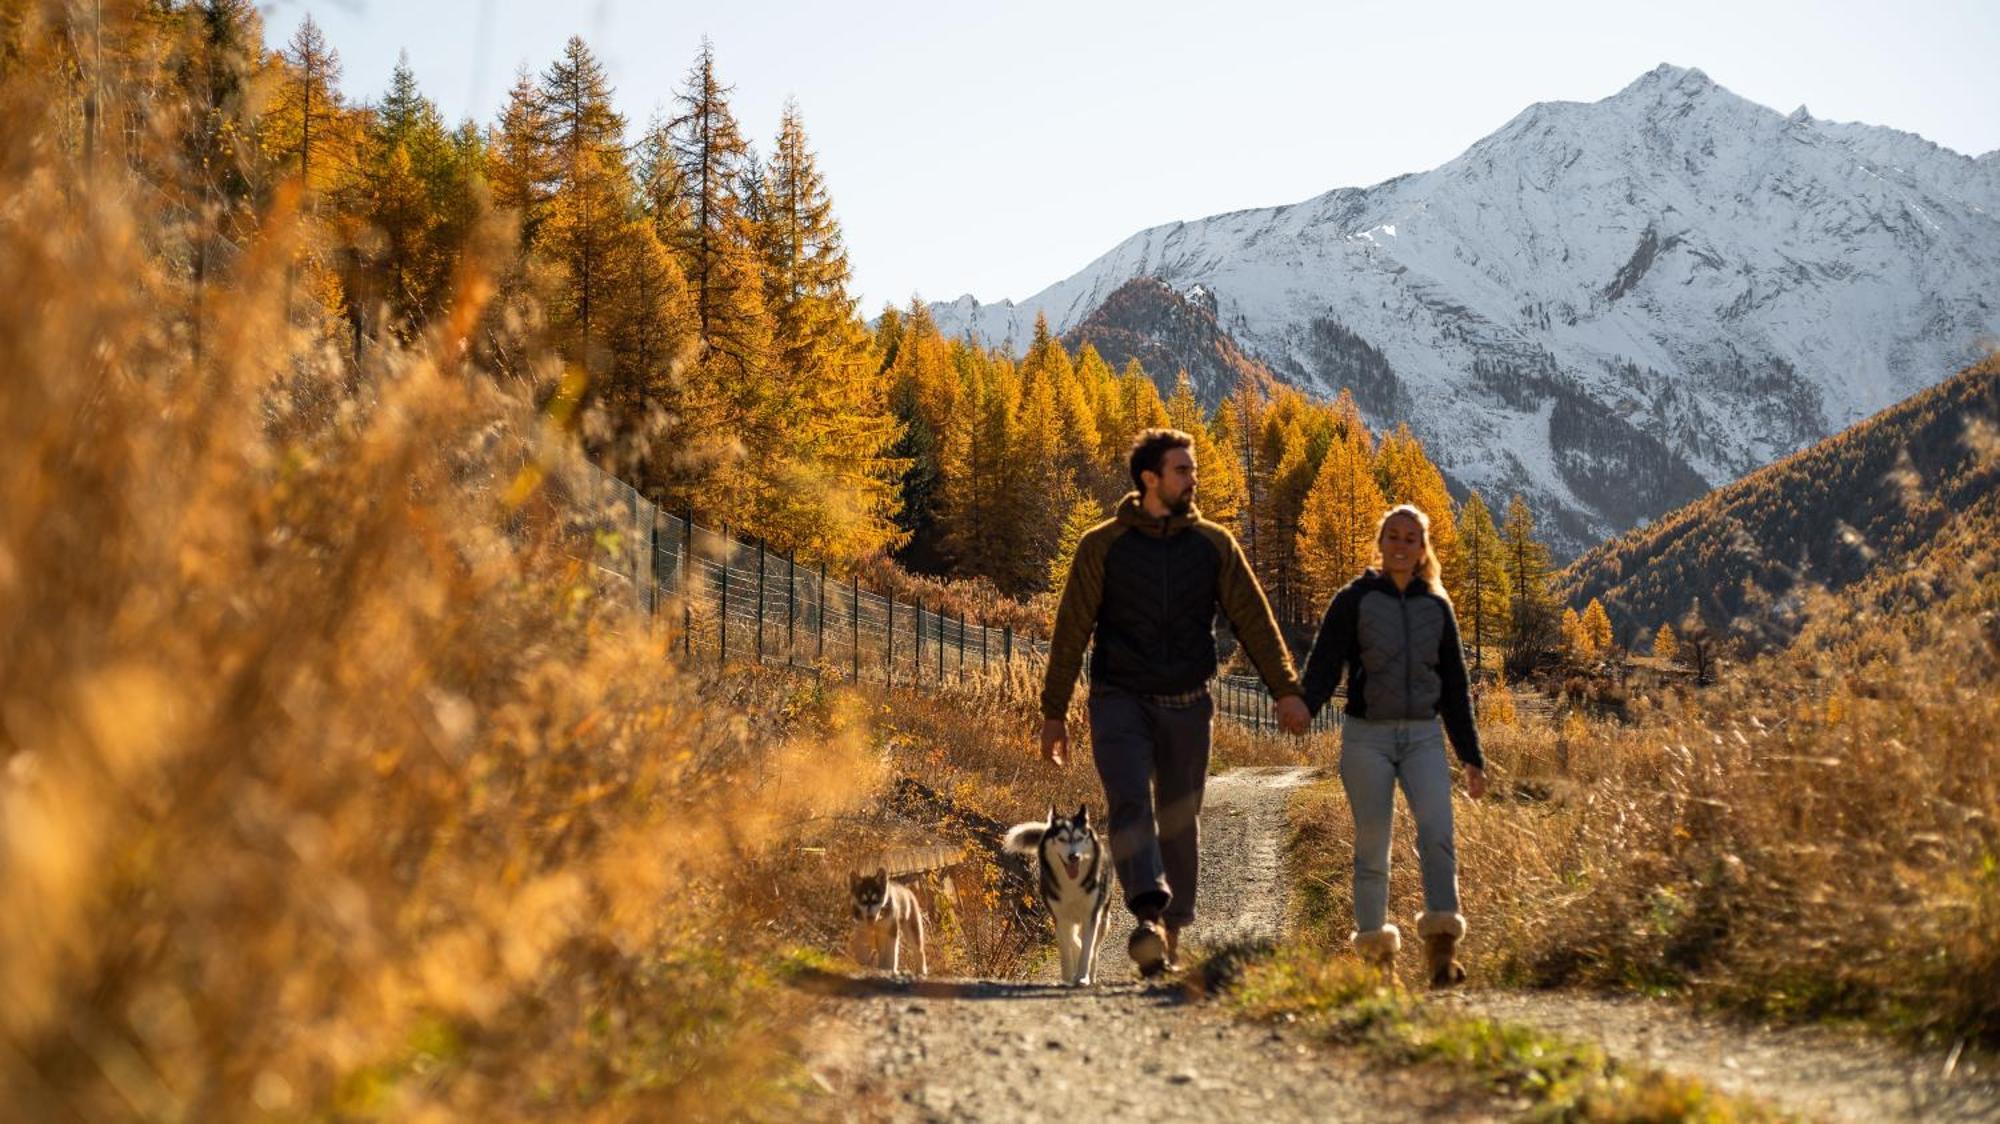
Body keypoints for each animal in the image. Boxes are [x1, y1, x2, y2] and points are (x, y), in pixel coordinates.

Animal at [1008, 804, 1120, 980]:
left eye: (1080, 838)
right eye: (1061, 839)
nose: (1074, 856)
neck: (1072, 884)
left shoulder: (1091, 916)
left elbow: (1087, 949)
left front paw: (1082, 975)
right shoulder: (1059, 917)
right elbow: (1069, 947)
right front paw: (1069, 976)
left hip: (1102, 913)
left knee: (1094, 949)